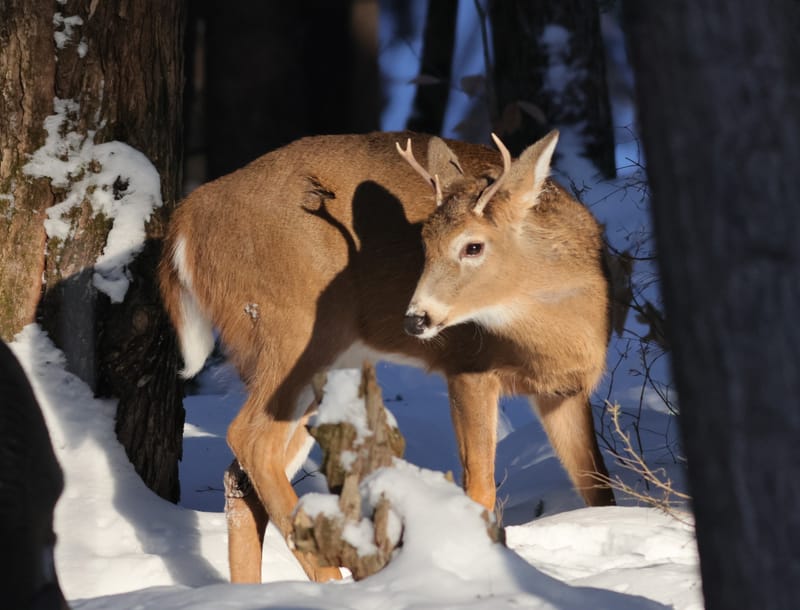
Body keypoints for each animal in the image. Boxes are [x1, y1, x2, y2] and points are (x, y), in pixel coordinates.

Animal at [158, 129, 616, 583]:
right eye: (424, 243)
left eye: (473, 246)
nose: (415, 318)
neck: (558, 338)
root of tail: (186, 217)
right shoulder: (467, 366)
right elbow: (480, 486)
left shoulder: (564, 390)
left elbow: (598, 486)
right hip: (289, 330)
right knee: (250, 439)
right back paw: (332, 578)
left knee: (240, 477)